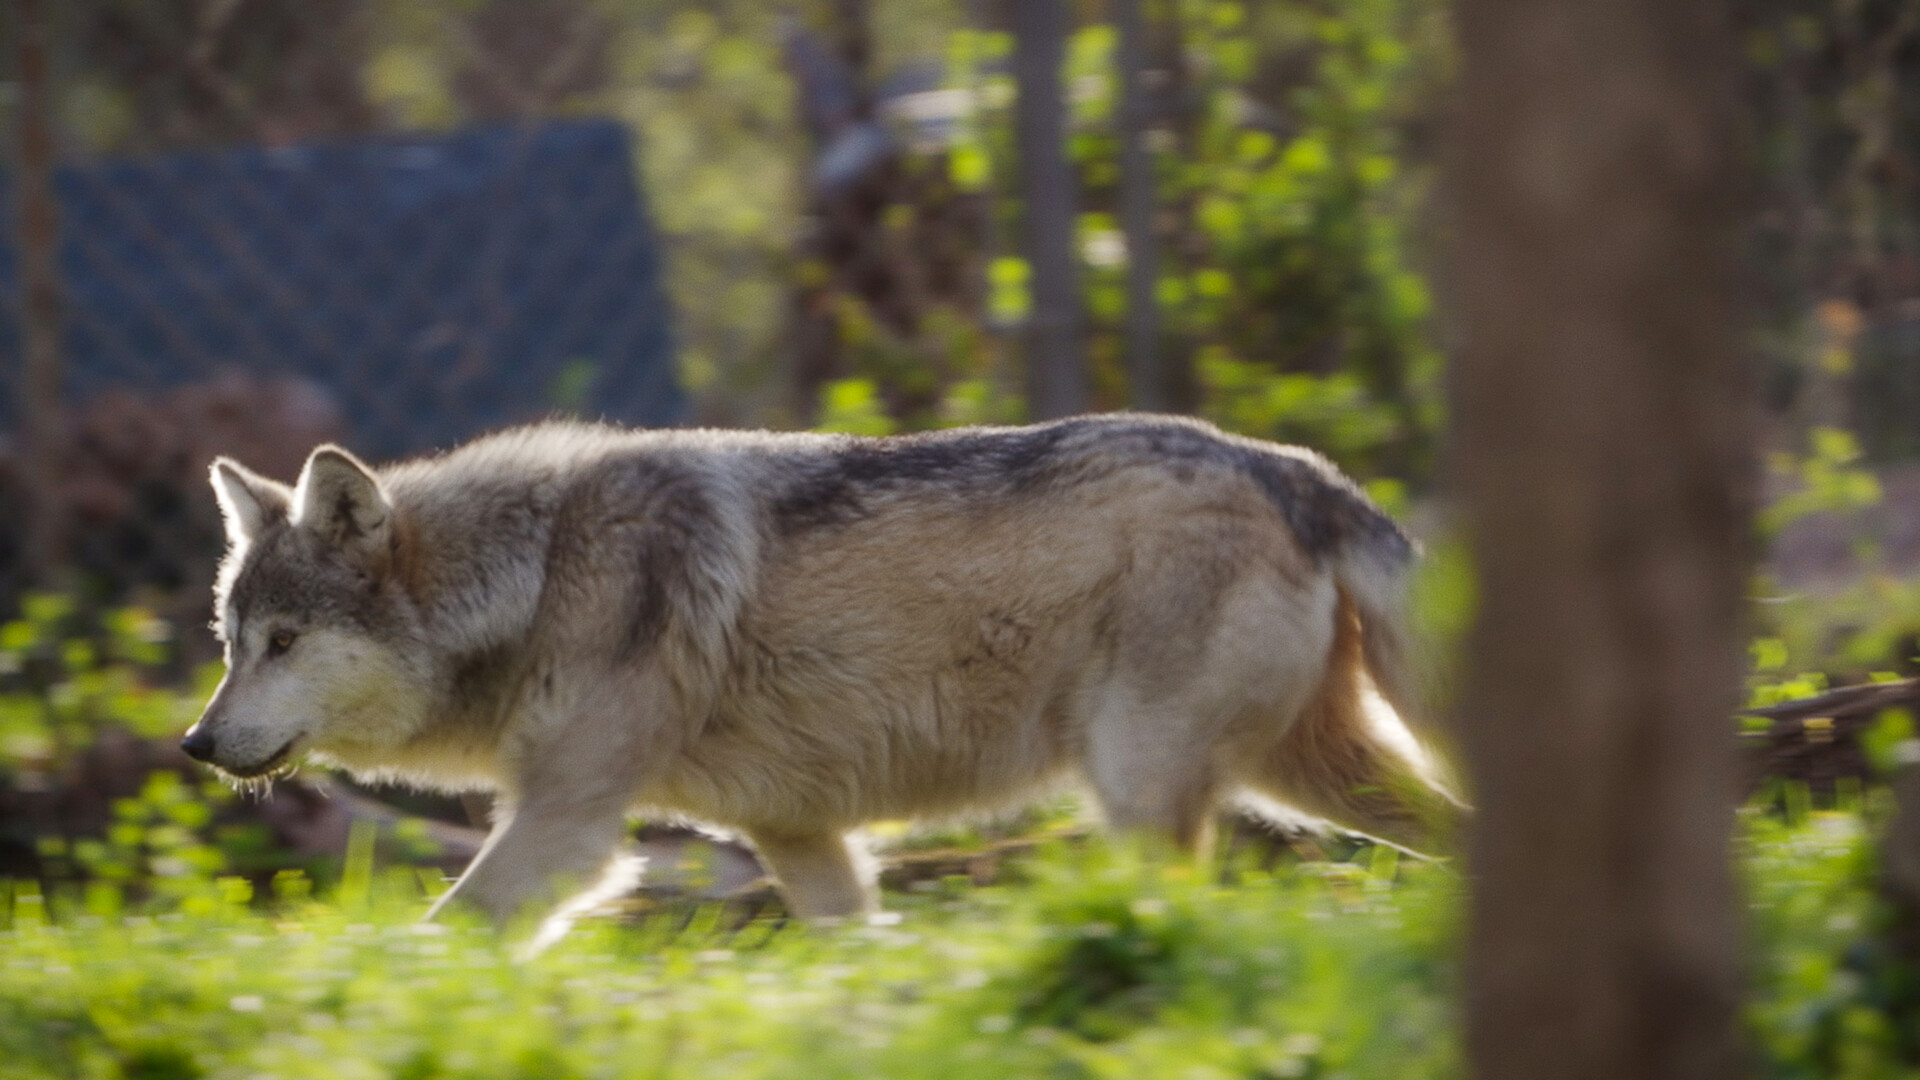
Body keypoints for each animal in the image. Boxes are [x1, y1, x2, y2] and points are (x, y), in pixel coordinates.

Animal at [181, 414, 1461, 927]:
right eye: (232, 644)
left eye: (285, 642)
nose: (194, 744)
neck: (538, 574)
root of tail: (1295, 466)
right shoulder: (803, 840)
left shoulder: (566, 828)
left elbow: (435, 935)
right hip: (1312, 779)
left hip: (1146, 795)